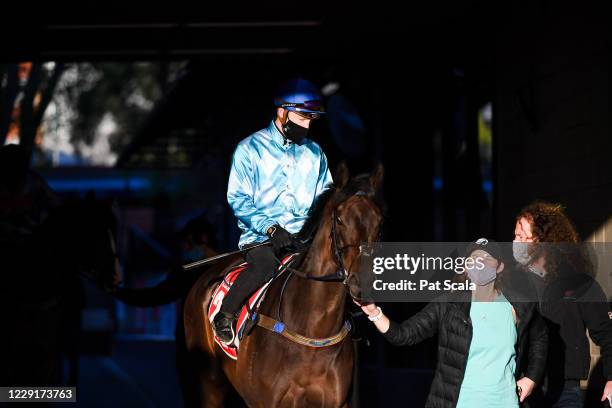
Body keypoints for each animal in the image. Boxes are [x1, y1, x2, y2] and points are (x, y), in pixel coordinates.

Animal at [183, 164, 382, 408]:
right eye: (340, 219)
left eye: (379, 221)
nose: (361, 282)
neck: (312, 328)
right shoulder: (264, 402)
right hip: (210, 381)